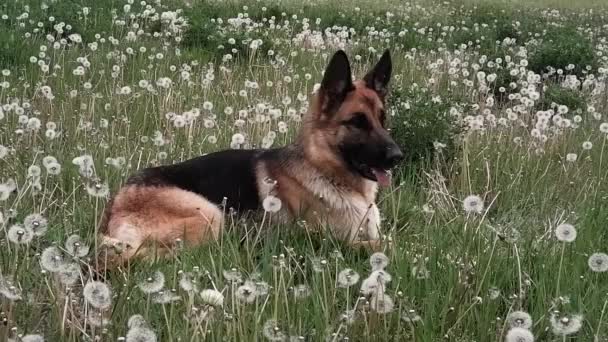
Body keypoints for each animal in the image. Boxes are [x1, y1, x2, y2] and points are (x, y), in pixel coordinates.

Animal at [97, 48, 404, 268]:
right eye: (357, 122)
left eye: (382, 119)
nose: (398, 156)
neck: (323, 169)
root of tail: (115, 203)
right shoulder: (337, 239)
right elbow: (390, 246)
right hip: (209, 216)